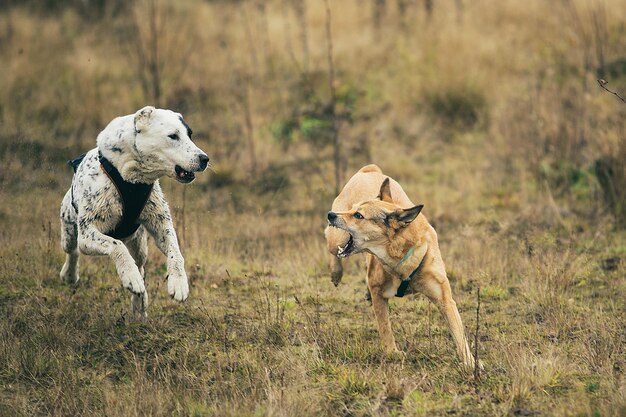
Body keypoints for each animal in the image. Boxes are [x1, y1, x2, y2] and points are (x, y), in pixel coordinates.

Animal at [58, 105, 210, 316]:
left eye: (190, 135)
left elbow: (175, 251)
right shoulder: (88, 235)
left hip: (139, 245)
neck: (132, 179)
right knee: (72, 251)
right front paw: (129, 276)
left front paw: (179, 283)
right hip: (70, 229)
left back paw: (140, 306)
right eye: (173, 136)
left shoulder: (161, 223)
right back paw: (70, 275)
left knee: (141, 266)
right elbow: (116, 245)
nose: (204, 158)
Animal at [324, 164, 476, 368]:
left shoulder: (444, 299)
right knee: (330, 242)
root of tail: (369, 170)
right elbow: (385, 327)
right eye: (354, 209)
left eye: (358, 215)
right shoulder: (378, 292)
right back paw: (336, 272)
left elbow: (458, 332)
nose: (330, 215)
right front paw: (392, 352)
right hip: (336, 238)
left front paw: (470, 362)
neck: (400, 256)